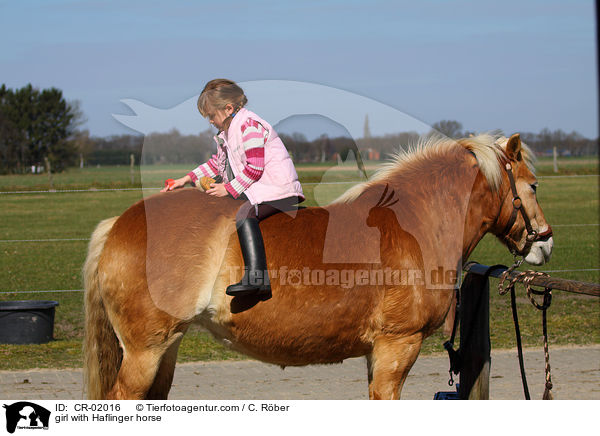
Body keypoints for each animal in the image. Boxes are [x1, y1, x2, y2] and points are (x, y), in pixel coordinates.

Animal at [83, 132, 552, 398]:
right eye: (532, 185)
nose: (545, 241)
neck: (415, 223)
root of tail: (118, 223)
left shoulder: (377, 353)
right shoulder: (398, 345)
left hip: (166, 348)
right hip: (145, 351)